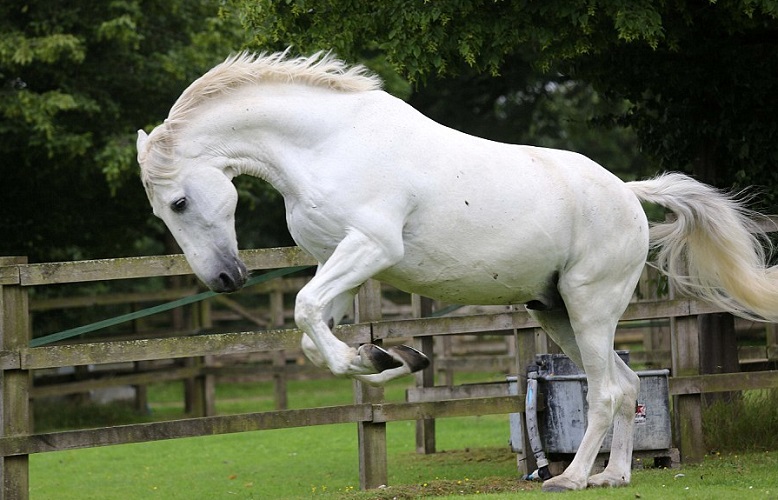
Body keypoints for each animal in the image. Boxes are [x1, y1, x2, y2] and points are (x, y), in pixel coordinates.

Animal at [136, 51, 778, 492]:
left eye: (179, 203)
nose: (226, 280)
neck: (327, 145)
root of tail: (627, 191)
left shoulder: (370, 246)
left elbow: (305, 310)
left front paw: (378, 359)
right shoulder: (337, 260)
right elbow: (314, 334)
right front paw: (388, 358)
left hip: (590, 305)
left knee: (603, 390)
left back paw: (570, 479)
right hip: (556, 312)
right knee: (624, 385)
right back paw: (612, 476)